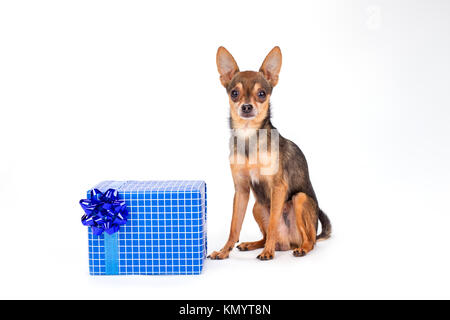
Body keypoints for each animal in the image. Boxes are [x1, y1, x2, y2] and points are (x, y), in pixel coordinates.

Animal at [208, 45, 330, 260]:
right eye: (234, 93)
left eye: (262, 94)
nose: (247, 107)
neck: (249, 137)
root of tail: (288, 243)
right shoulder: (241, 190)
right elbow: (234, 226)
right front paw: (223, 251)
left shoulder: (278, 187)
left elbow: (273, 223)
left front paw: (268, 253)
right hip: (257, 206)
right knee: (264, 236)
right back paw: (252, 244)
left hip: (300, 200)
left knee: (310, 240)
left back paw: (299, 248)